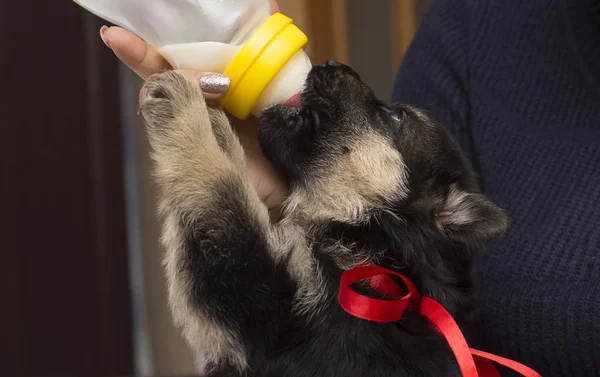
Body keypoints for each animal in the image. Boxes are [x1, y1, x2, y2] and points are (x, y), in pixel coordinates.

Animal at [139, 60, 506, 374]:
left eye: (395, 116)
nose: (332, 63)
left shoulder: (262, 303)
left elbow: (219, 187)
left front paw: (184, 105)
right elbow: (231, 183)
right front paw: (217, 126)